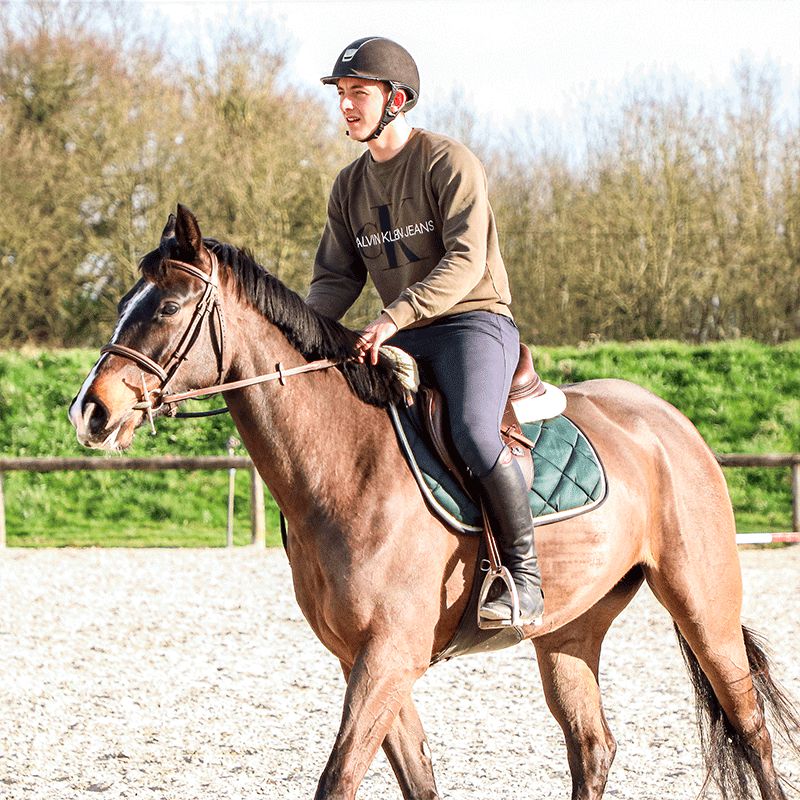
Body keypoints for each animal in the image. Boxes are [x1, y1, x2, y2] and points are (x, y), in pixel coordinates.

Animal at [70, 206, 800, 800]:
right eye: (123, 302)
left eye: (167, 308)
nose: (90, 411)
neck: (346, 464)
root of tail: (668, 422)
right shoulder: (361, 660)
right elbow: (417, 778)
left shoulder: (389, 657)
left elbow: (338, 780)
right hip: (569, 630)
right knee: (593, 748)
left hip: (703, 607)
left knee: (751, 731)